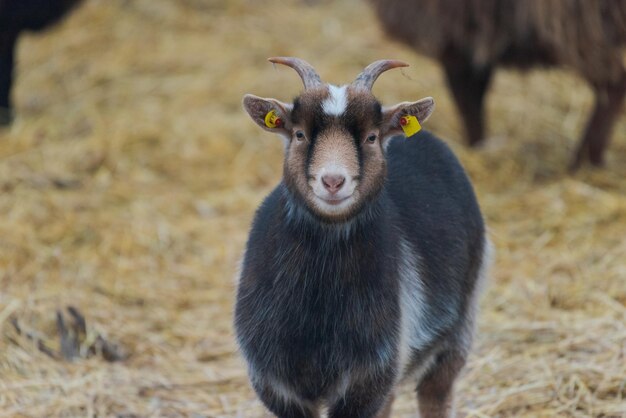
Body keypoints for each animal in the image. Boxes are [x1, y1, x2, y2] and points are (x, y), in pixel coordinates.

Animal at [232, 58, 490, 418]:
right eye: (299, 134)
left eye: (371, 137)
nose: (333, 181)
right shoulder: (277, 382)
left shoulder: (369, 374)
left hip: (458, 328)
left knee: (435, 394)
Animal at [368, 1, 624, 170]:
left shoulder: (455, 39)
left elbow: (468, 104)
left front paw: (475, 149)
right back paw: (590, 160)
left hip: (583, 26)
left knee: (612, 85)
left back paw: (583, 160)